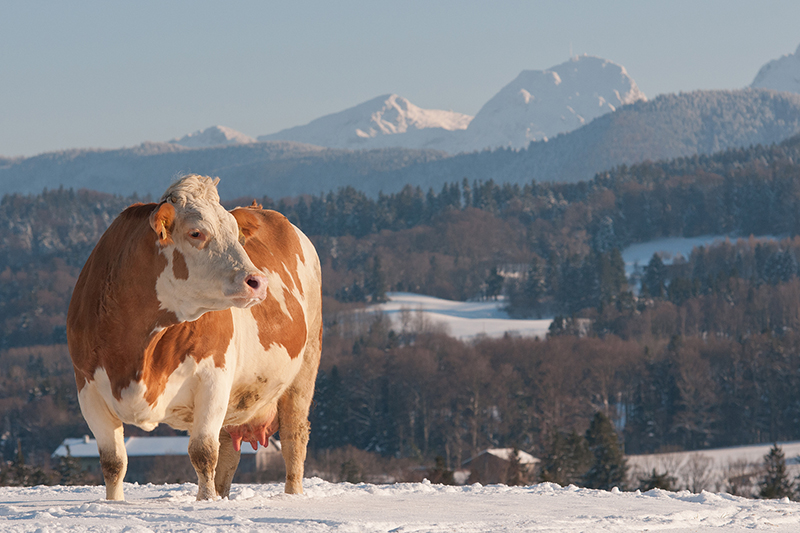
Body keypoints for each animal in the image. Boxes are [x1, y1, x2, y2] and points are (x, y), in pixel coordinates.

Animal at [66, 174, 322, 498]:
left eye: (237, 234)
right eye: (196, 232)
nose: (257, 281)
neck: (137, 349)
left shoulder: (214, 378)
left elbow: (203, 453)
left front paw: (206, 502)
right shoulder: (87, 388)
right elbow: (113, 463)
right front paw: (115, 504)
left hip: (304, 369)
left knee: (293, 439)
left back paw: (292, 495)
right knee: (228, 450)